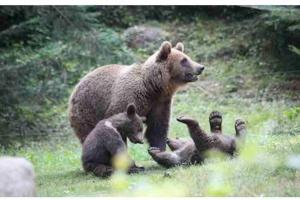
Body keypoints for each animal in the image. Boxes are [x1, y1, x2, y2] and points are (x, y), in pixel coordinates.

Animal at [68, 41, 204, 150]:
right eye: (184, 60)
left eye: (188, 57)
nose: (201, 67)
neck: (152, 87)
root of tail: (77, 84)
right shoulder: (129, 98)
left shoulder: (160, 102)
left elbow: (158, 127)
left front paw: (159, 149)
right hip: (88, 108)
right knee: (88, 132)